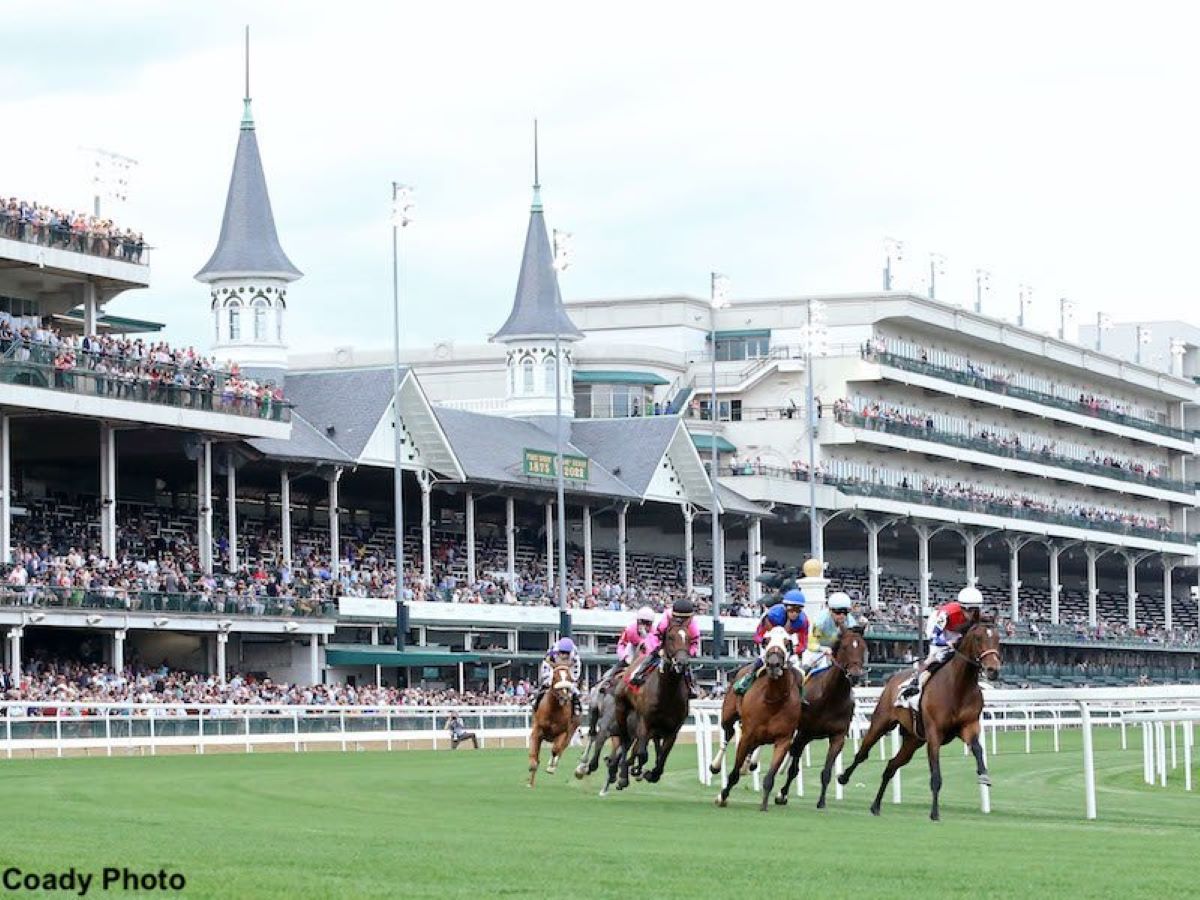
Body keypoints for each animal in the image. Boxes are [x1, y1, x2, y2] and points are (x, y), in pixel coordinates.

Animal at [600, 619, 696, 796]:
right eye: (670, 637)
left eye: (689, 638)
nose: (682, 663)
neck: (667, 693)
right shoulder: (645, 723)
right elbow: (642, 753)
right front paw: (632, 772)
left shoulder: (672, 730)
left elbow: (661, 758)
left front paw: (650, 774)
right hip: (622, 712)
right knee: (625, 743)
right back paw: (620, 774)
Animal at [705, 628, 801, 816]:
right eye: (765, 640)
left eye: (787, 642)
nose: (773, 665)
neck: (773, 701)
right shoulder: (747, 735)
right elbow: (734, 773)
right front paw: (722, 796)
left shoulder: (784, 740)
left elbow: (770, 777)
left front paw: (764, 804)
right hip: (728, 714)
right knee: (728, 734)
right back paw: (715, 765)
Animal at [772, 628, 868, 811]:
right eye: (844, 647)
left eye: (863, 648)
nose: (855, 675)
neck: (831, 697)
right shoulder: (804, 734)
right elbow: (793, 769)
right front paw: (781, 795)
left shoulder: (837, 737)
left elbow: (827, 772)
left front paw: (822, 802)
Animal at [835, 624, 1003, 820]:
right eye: (978, 638)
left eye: (997, 638)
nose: (993, 669)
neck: (959, 687)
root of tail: (892, 679)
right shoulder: (934, 734)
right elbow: (936, 775)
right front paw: (934, 813)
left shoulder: (968, 726)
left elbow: (977, 748)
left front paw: (983, 775)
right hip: (881, 722)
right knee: (862, 754)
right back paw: (843, 778)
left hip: (913, 740)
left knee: (891, 766)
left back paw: (875, 806)